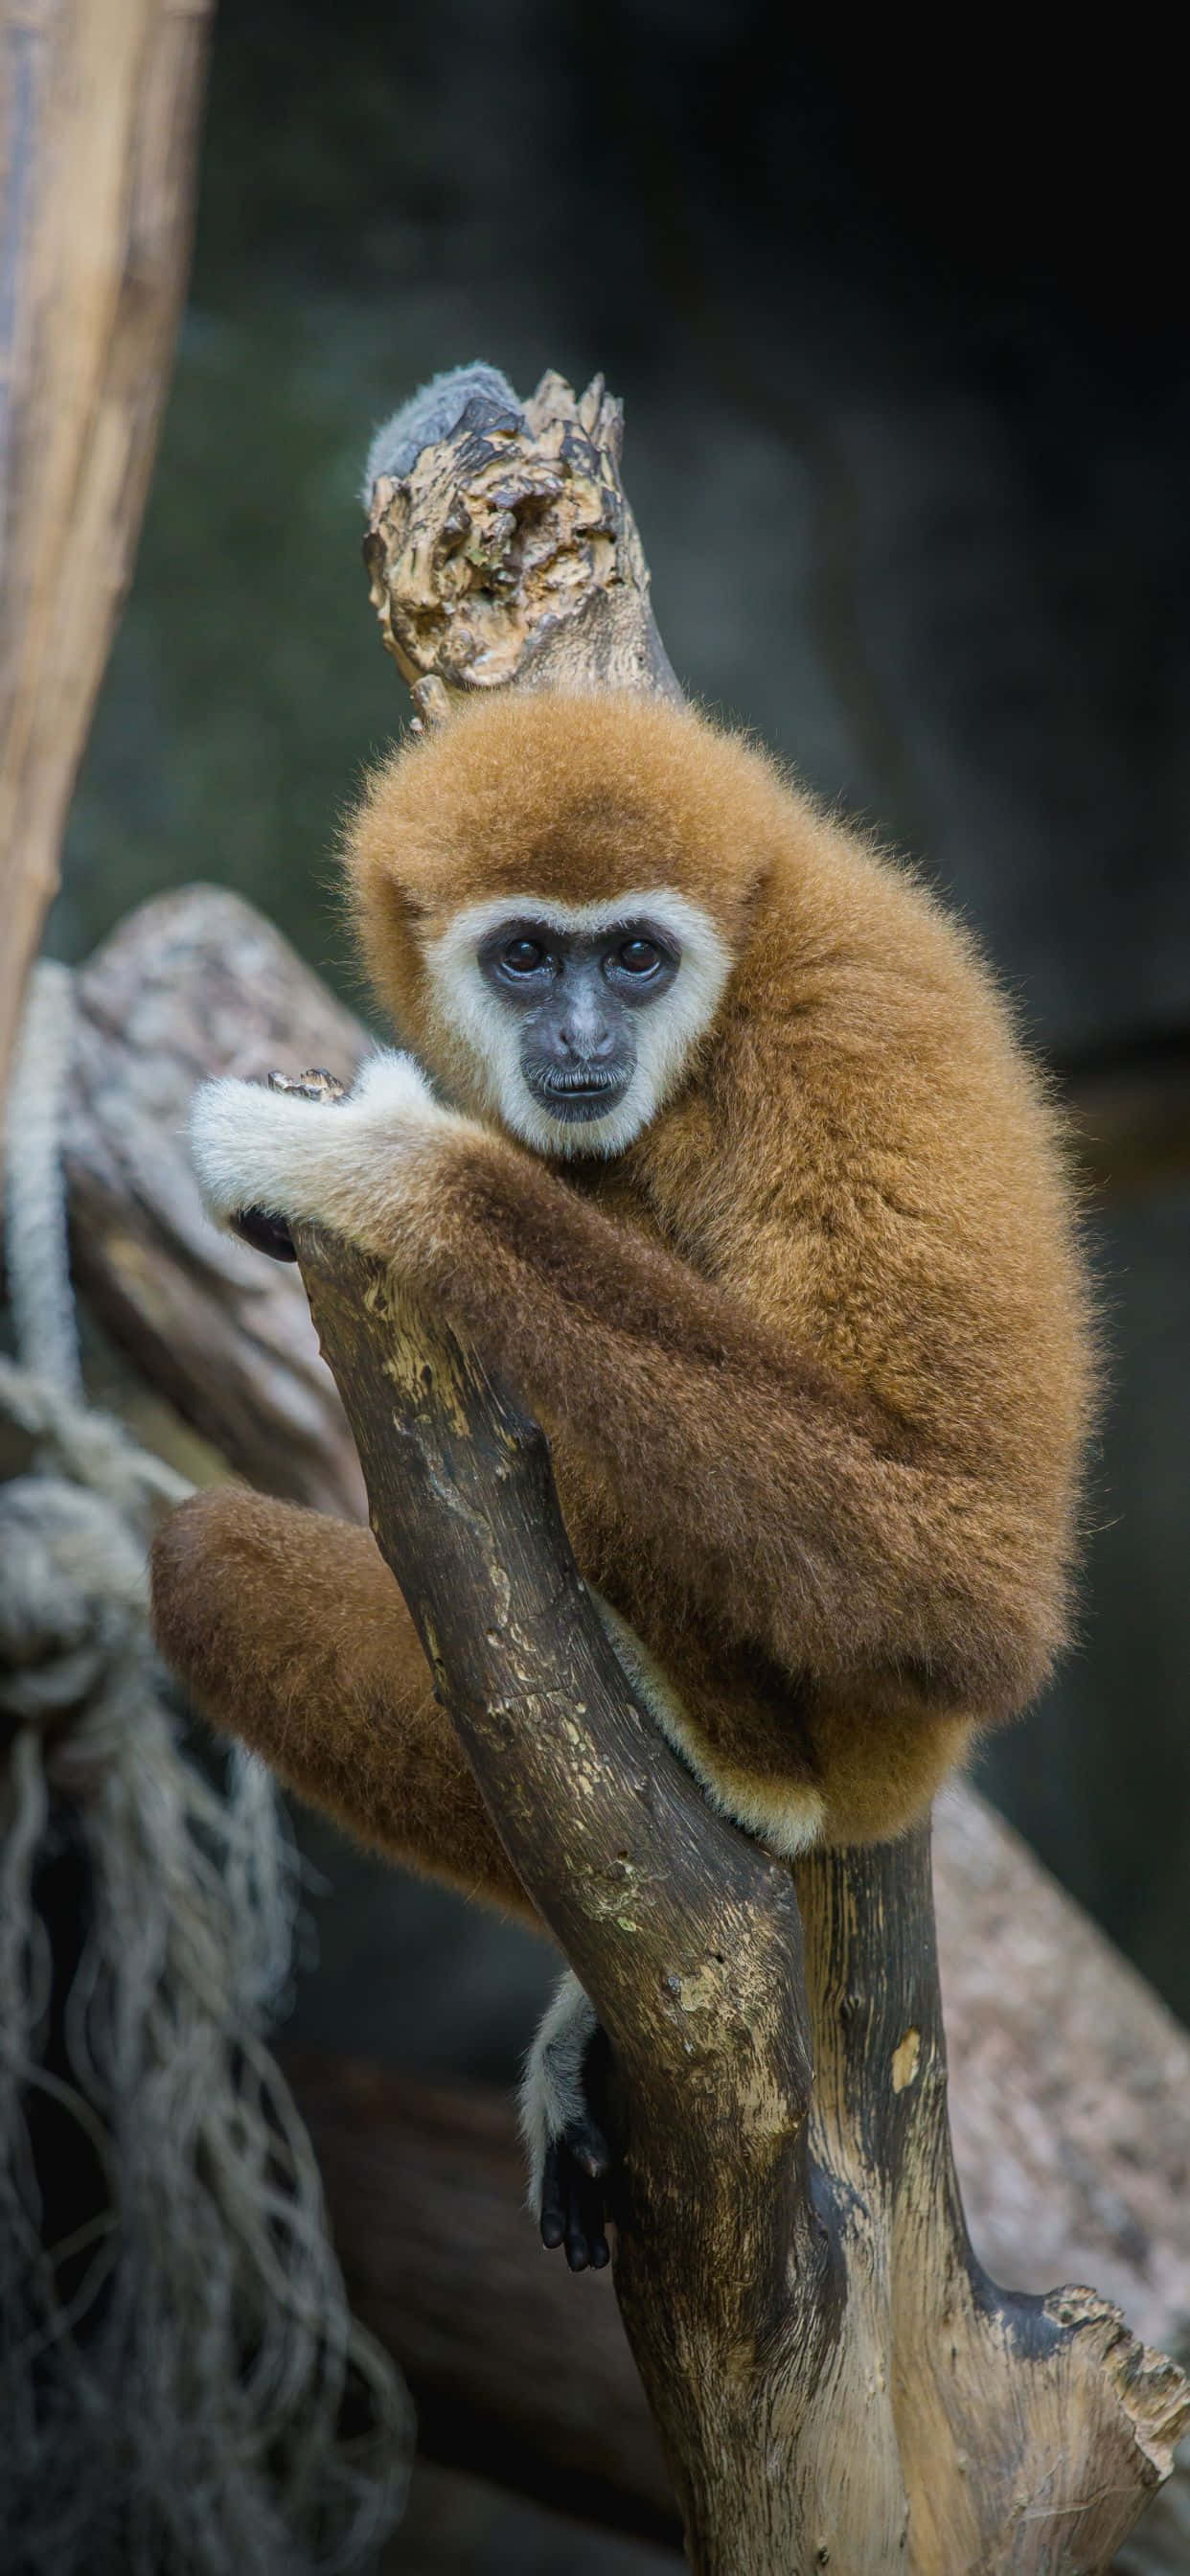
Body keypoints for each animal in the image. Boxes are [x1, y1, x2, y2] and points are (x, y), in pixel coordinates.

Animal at [150, 687, 1095, 2271]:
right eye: (527, 955)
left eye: (635, 956)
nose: (585, 1032)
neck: (722, 1020)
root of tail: (897, 1783)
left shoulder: (852, 1035)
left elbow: (962, 1569)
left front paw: (382, 1166)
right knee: (207, 1562)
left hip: (860, 1721)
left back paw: (743, 1765)